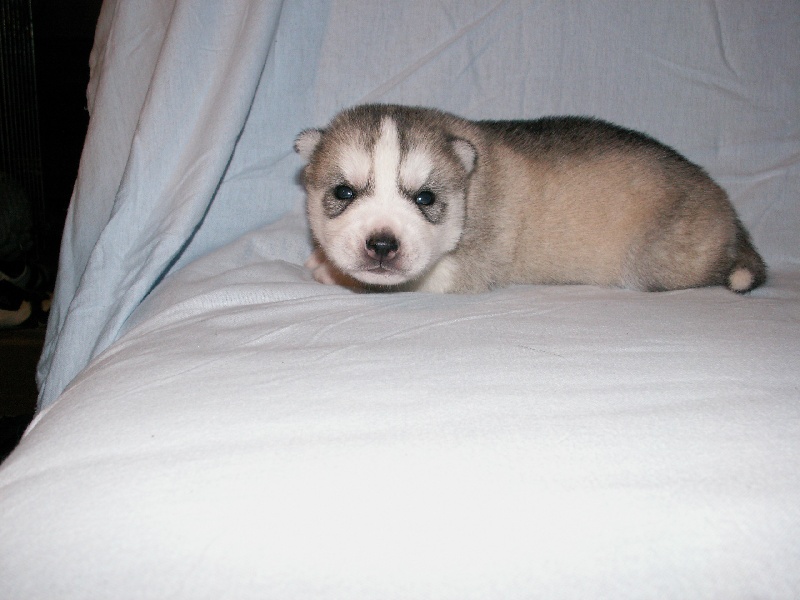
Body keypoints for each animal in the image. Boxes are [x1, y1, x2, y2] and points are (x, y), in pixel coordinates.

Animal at [295, 104, 766, 294]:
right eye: (343, 192)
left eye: (425, 198)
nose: (382, 245)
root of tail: (726, 206)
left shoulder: (466, 267)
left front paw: (333, 273)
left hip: (662, 257)